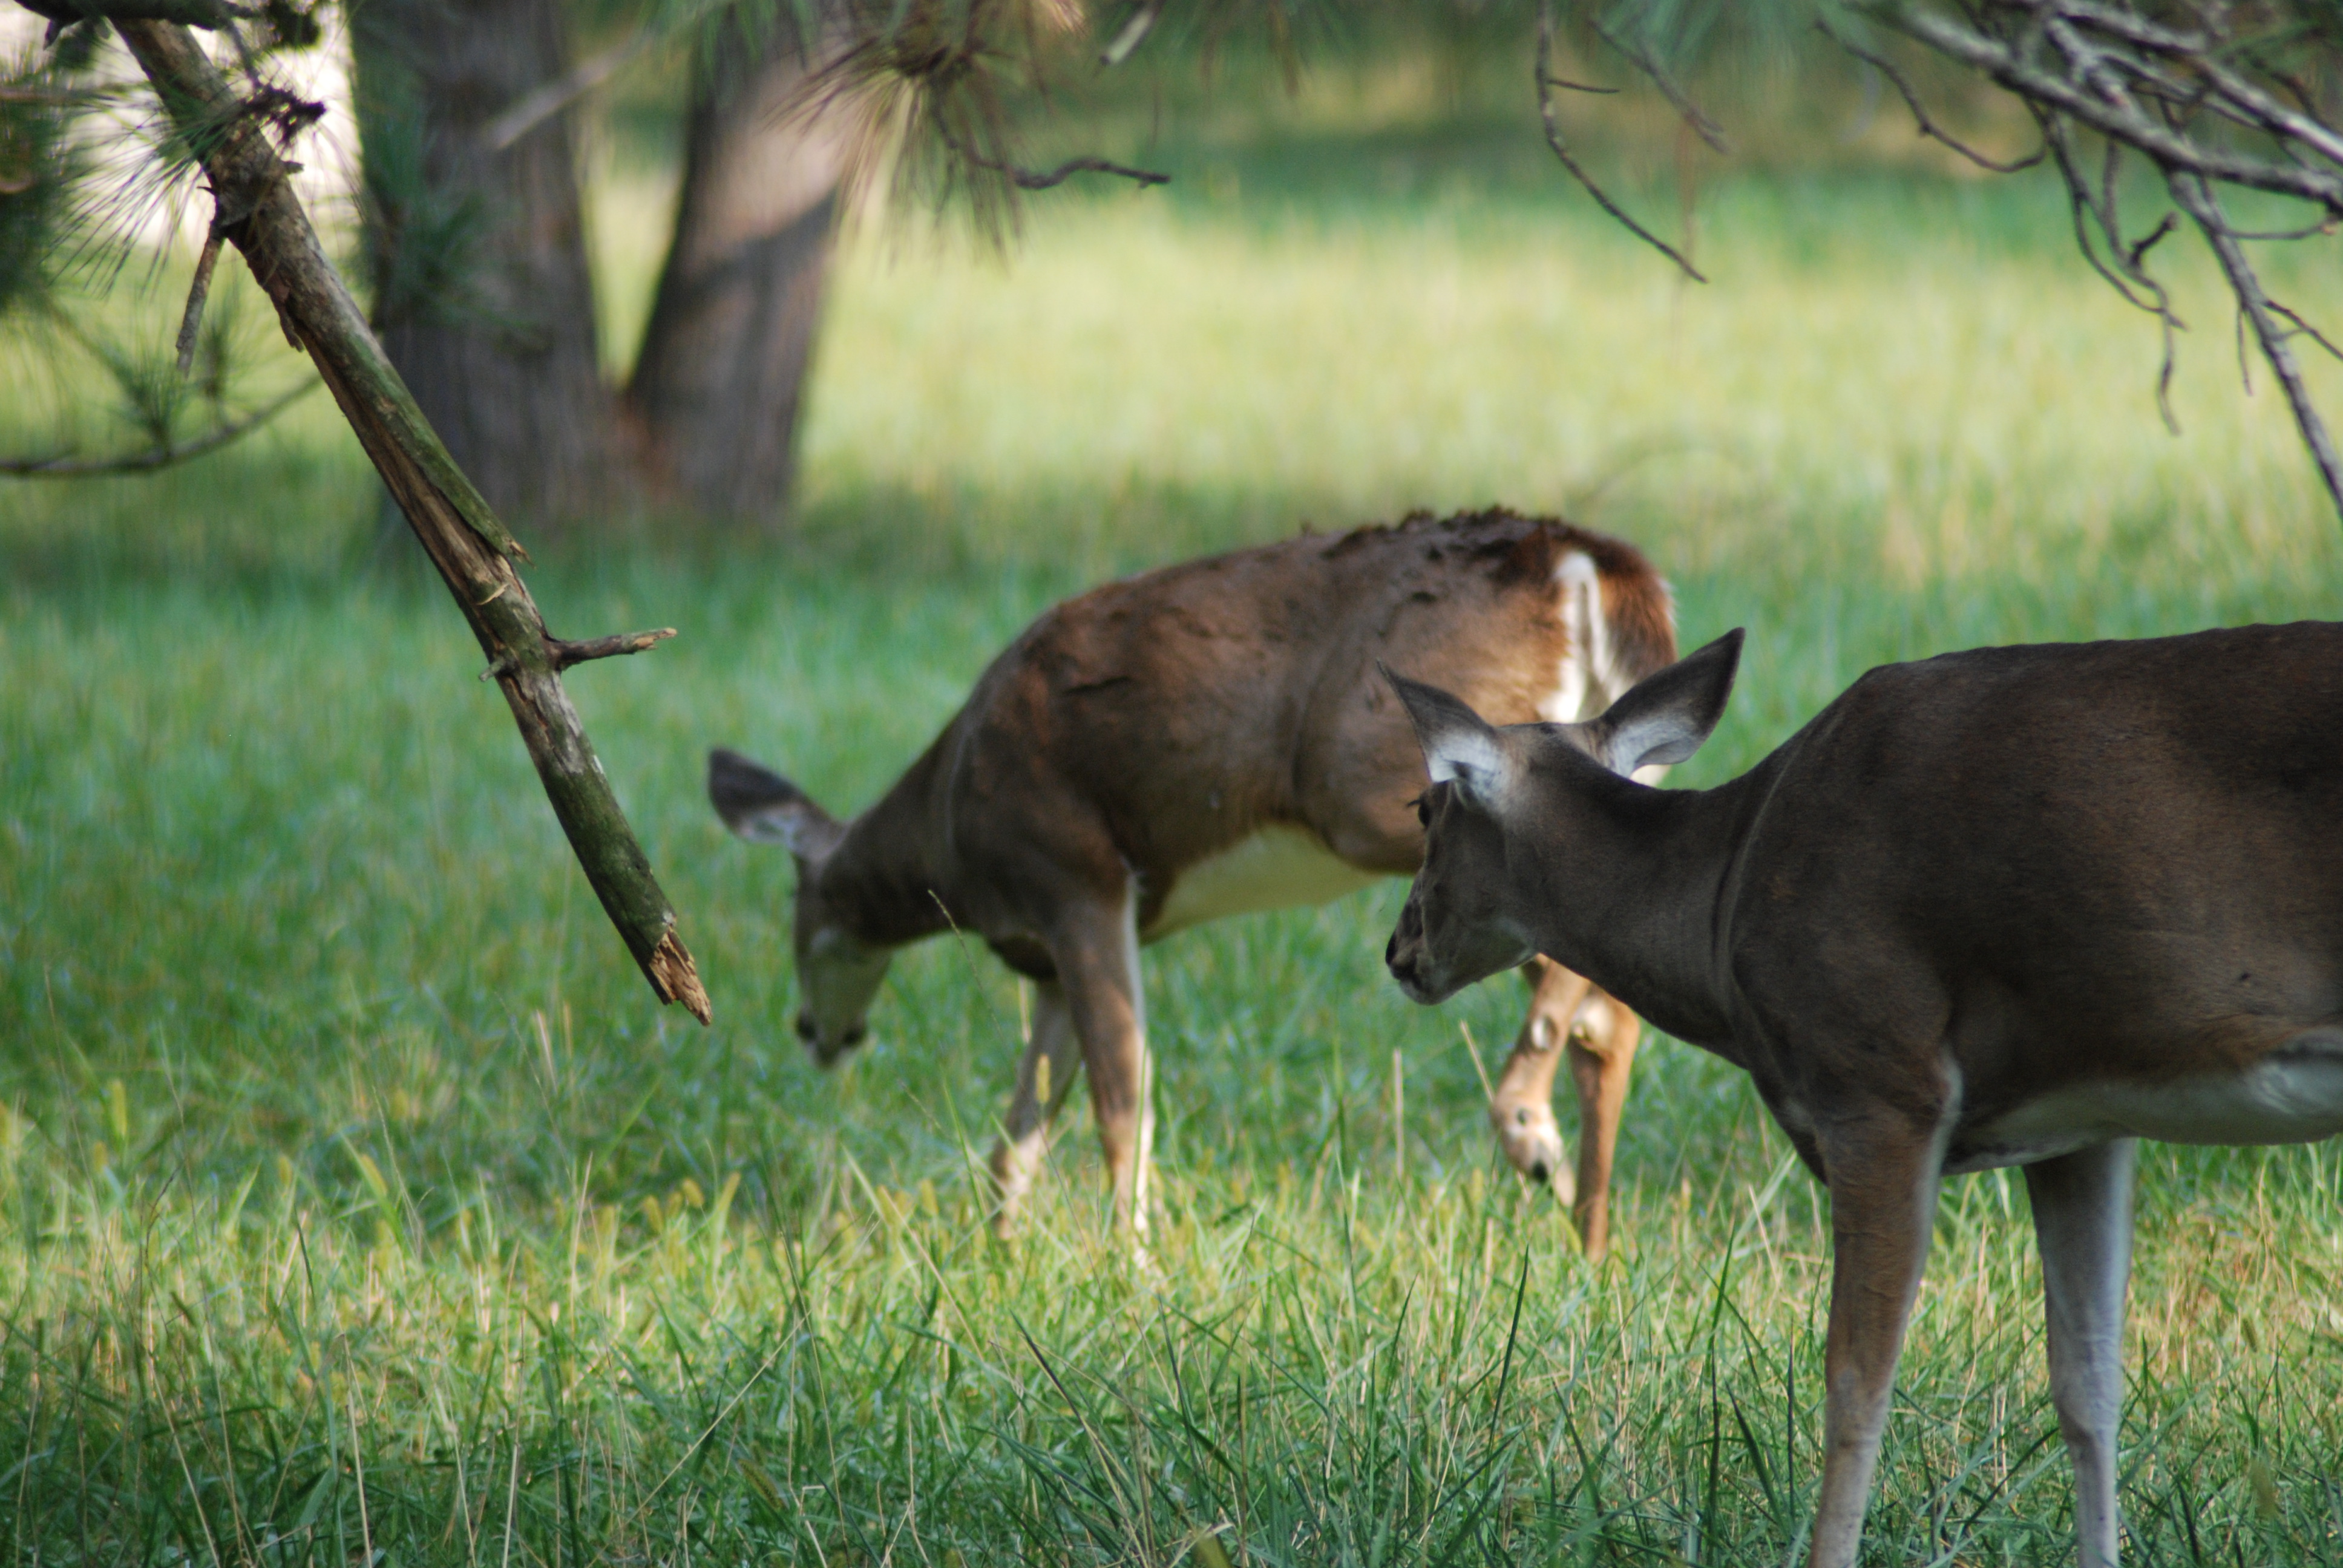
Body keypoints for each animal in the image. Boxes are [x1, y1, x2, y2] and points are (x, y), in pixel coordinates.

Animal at [703, 511, 1677, 1247]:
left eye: (798, 909)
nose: (818, 1035)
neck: (950, 825)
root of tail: (1582, 562)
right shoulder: (1048, 955)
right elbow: (1023, 1125)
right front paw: (1000, 1252)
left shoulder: (1076, 873)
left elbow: (1121, 1093)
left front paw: (1132, 1266)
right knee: (1611, 1011)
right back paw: (1587, 1236)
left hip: (1387, 796)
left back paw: (1529, 1134)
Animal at [1377, 623, 2343, 1566]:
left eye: (1424, 808)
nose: (1398, 950)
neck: (1724, 900)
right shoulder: (2087, 1113)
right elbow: (2090, 1384)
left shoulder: (1880, 1078)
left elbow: (1854, 1385)